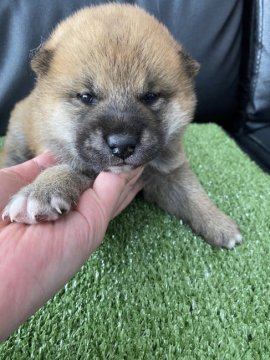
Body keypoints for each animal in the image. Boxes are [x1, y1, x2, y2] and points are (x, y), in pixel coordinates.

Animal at [0, 4, 240, 249]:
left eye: (150, 96)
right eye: (86, 97)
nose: (122, 145)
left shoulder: (169, 170)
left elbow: (192, 193)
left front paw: (219, 223)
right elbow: (70, 168)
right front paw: (41, 191)